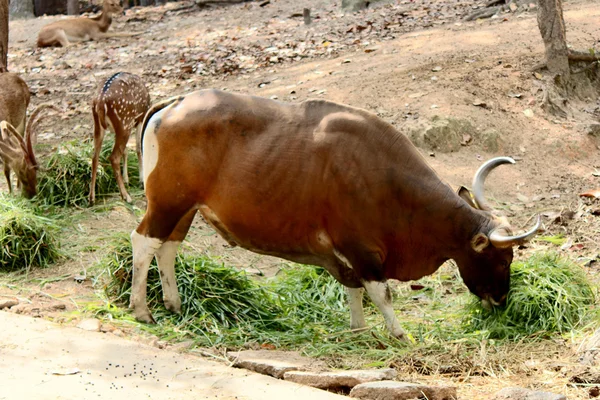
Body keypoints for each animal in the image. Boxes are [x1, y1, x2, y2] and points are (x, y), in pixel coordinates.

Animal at [89, 71, 151, 206]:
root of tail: (100, 102)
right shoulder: (141, 117)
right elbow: (139, 147)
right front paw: (141, 181)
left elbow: (127, 151)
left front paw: (127, 179)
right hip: (124, 122)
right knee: (113, 157)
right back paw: (126, 196)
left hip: (98, 126)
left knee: (94, 156)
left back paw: (91, 198)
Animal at [129, 89, 540, 340]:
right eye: (503, 259)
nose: (501, 300)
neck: (385, 176)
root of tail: (173, 103)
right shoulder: (360, 247)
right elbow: (380, 293)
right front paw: (399, 334)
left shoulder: (345, 254)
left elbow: (353, 289)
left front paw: (359, 331)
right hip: (167, 203)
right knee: (143, 242)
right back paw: (142, 310)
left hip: (184, 209)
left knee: (167, 248)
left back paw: (173, 304)